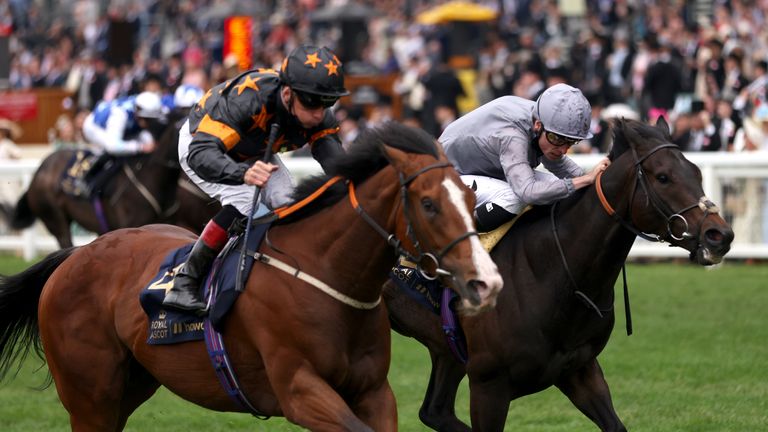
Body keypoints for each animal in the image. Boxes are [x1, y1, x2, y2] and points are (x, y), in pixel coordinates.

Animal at [382, 116, 732, 430]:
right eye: (662, 177)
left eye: (696, 171)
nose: (720, 235)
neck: (550, 272)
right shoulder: (488, 383)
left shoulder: (578, 369)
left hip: (446, 350)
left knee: (435, 411)